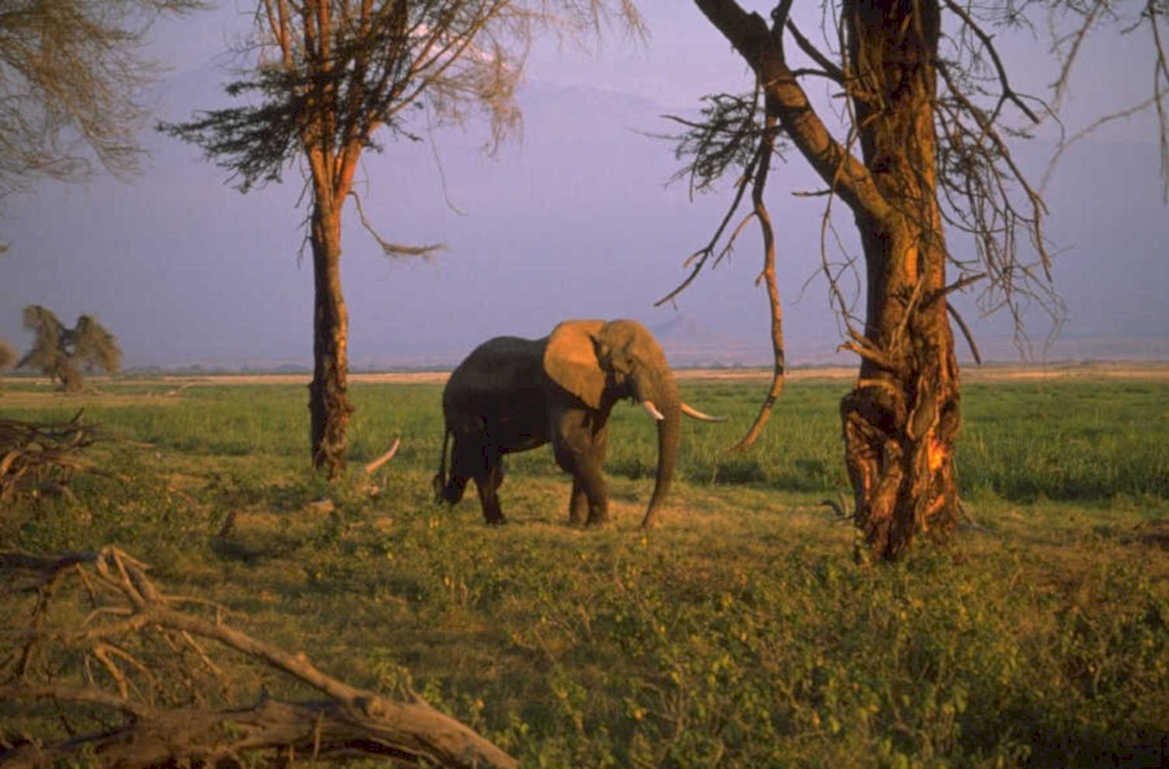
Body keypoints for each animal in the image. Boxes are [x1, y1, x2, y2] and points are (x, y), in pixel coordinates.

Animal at [433, 318, 722, 529]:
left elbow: (594, 449)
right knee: (481, 461)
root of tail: (451, 379)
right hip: (465, 408)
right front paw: (600, 524)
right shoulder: (559, 392)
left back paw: (447, 505)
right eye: (630, 361)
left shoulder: (596, 394)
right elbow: (571, 448)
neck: (598, 329)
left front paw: (578, 523)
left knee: (472, 459)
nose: (645, 526)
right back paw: (495, 522)